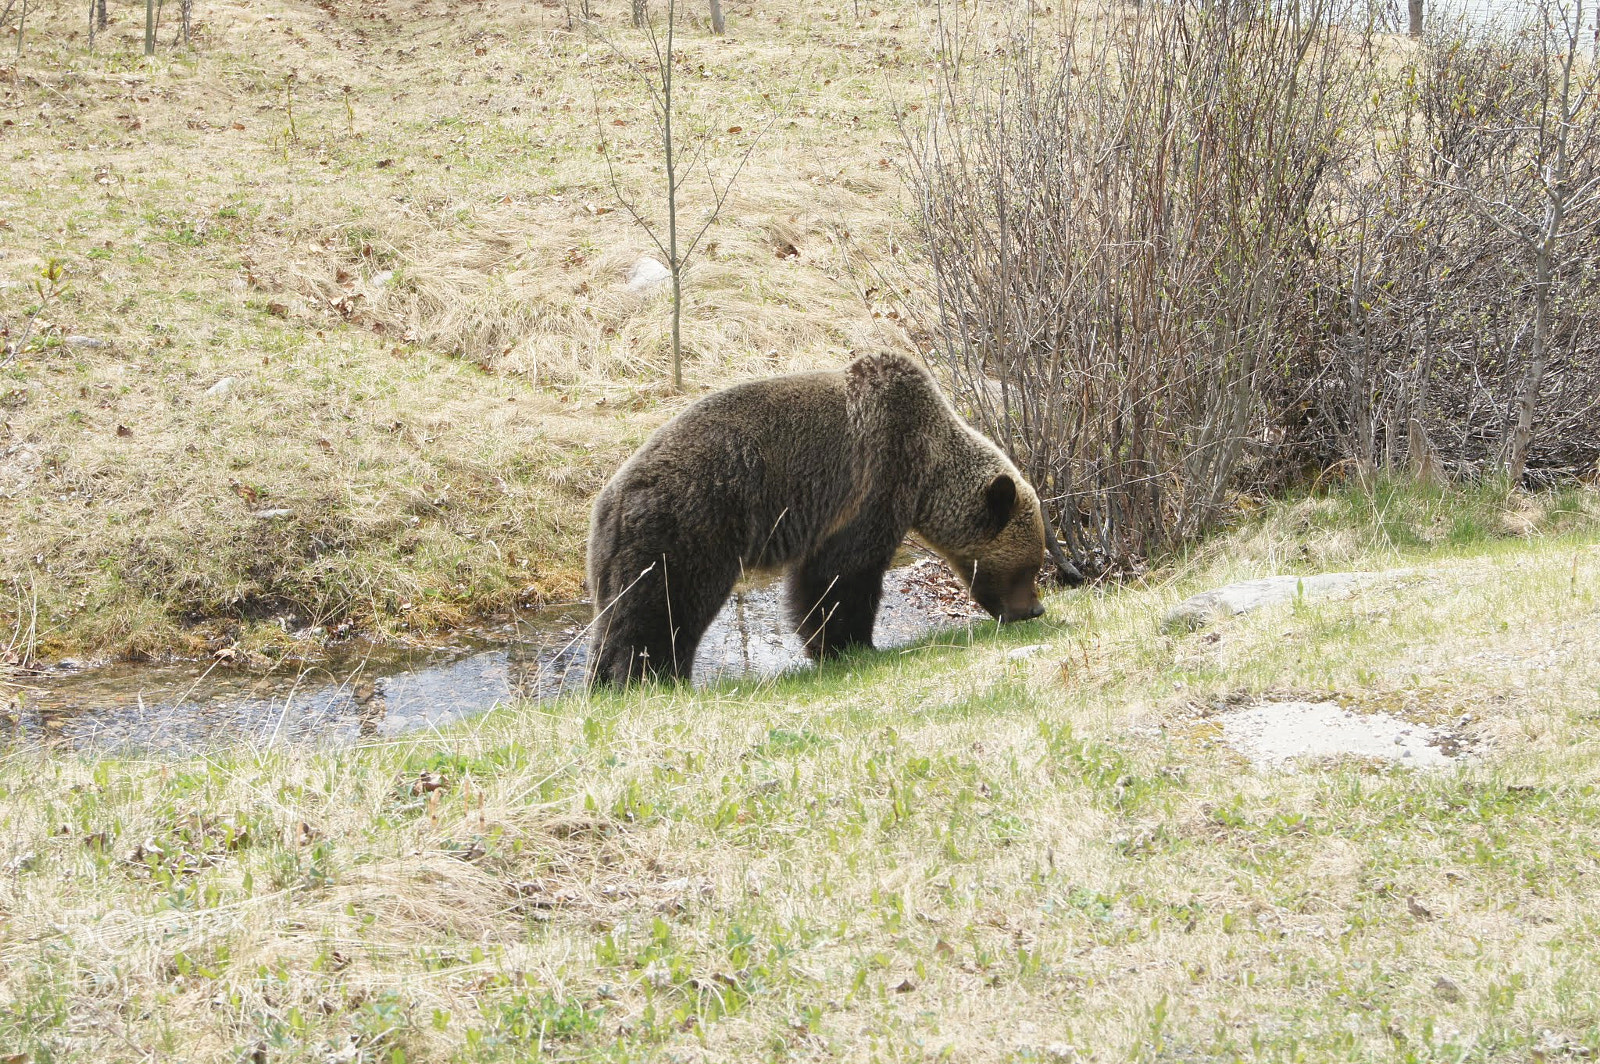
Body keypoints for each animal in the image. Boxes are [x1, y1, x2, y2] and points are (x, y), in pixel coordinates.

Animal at [582, 352, 1081, 684]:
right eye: (1028, 565)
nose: (1033, 609)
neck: (928, 471)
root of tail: (609, 499)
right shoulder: (873, 481)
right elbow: (842, 573)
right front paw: (852, 644)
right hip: (690, 524)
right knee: (663, 603)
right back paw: (652, 675)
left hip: (627, 548)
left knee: (619, 612)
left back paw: (609, 679)